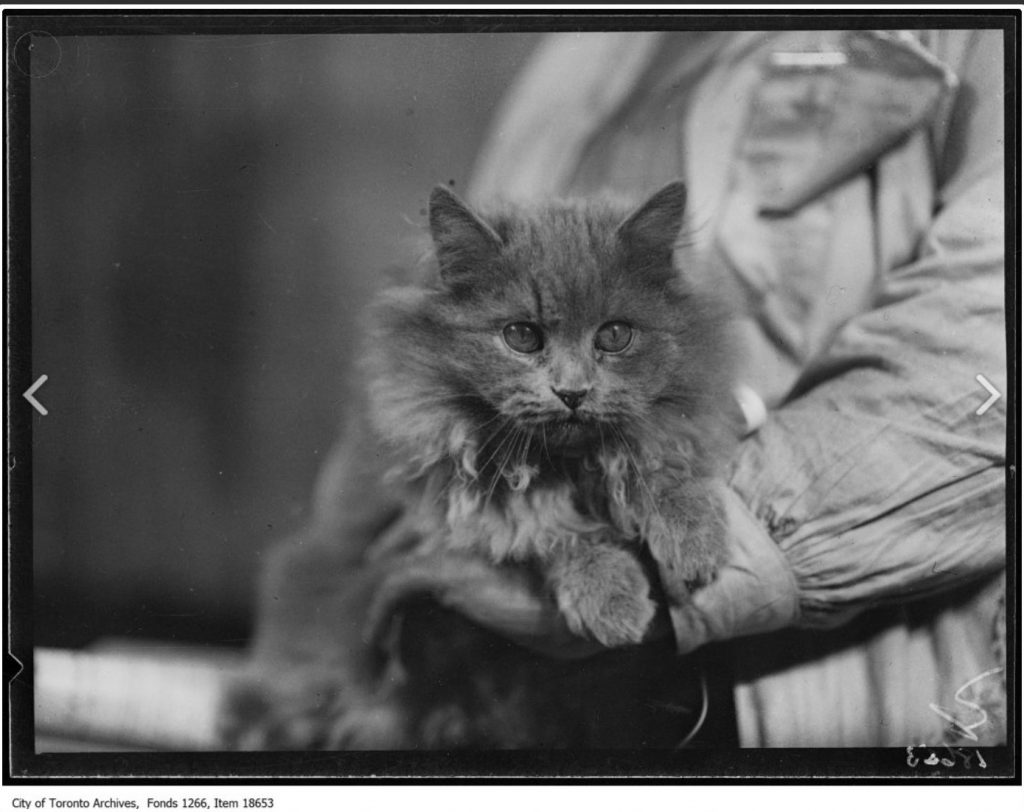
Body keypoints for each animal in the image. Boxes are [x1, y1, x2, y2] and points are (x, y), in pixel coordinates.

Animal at [220, 182, 737, 749]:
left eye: (615, 336)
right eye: (523, 336)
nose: (572, 393)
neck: (567, 465)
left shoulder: (671, 430)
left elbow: (663, 466)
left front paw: (695, 540)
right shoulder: (459, 498)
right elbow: (548, 531)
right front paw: (612, 598)